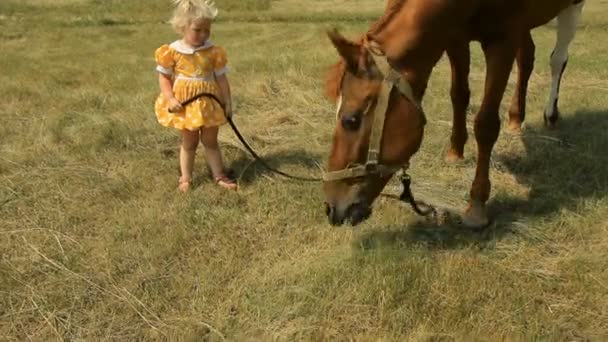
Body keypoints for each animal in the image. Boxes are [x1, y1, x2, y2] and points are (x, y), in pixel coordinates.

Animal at [324, 0, 584, 230]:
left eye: (351, 120)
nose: (331, 208)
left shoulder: (502, 41)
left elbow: (486, 123)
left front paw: (477, 205)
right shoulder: (455, 38)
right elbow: (459, 95)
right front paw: (455, 151)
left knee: (558, 59)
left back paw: (551, 115)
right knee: (527, 56)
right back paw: (515, 119)